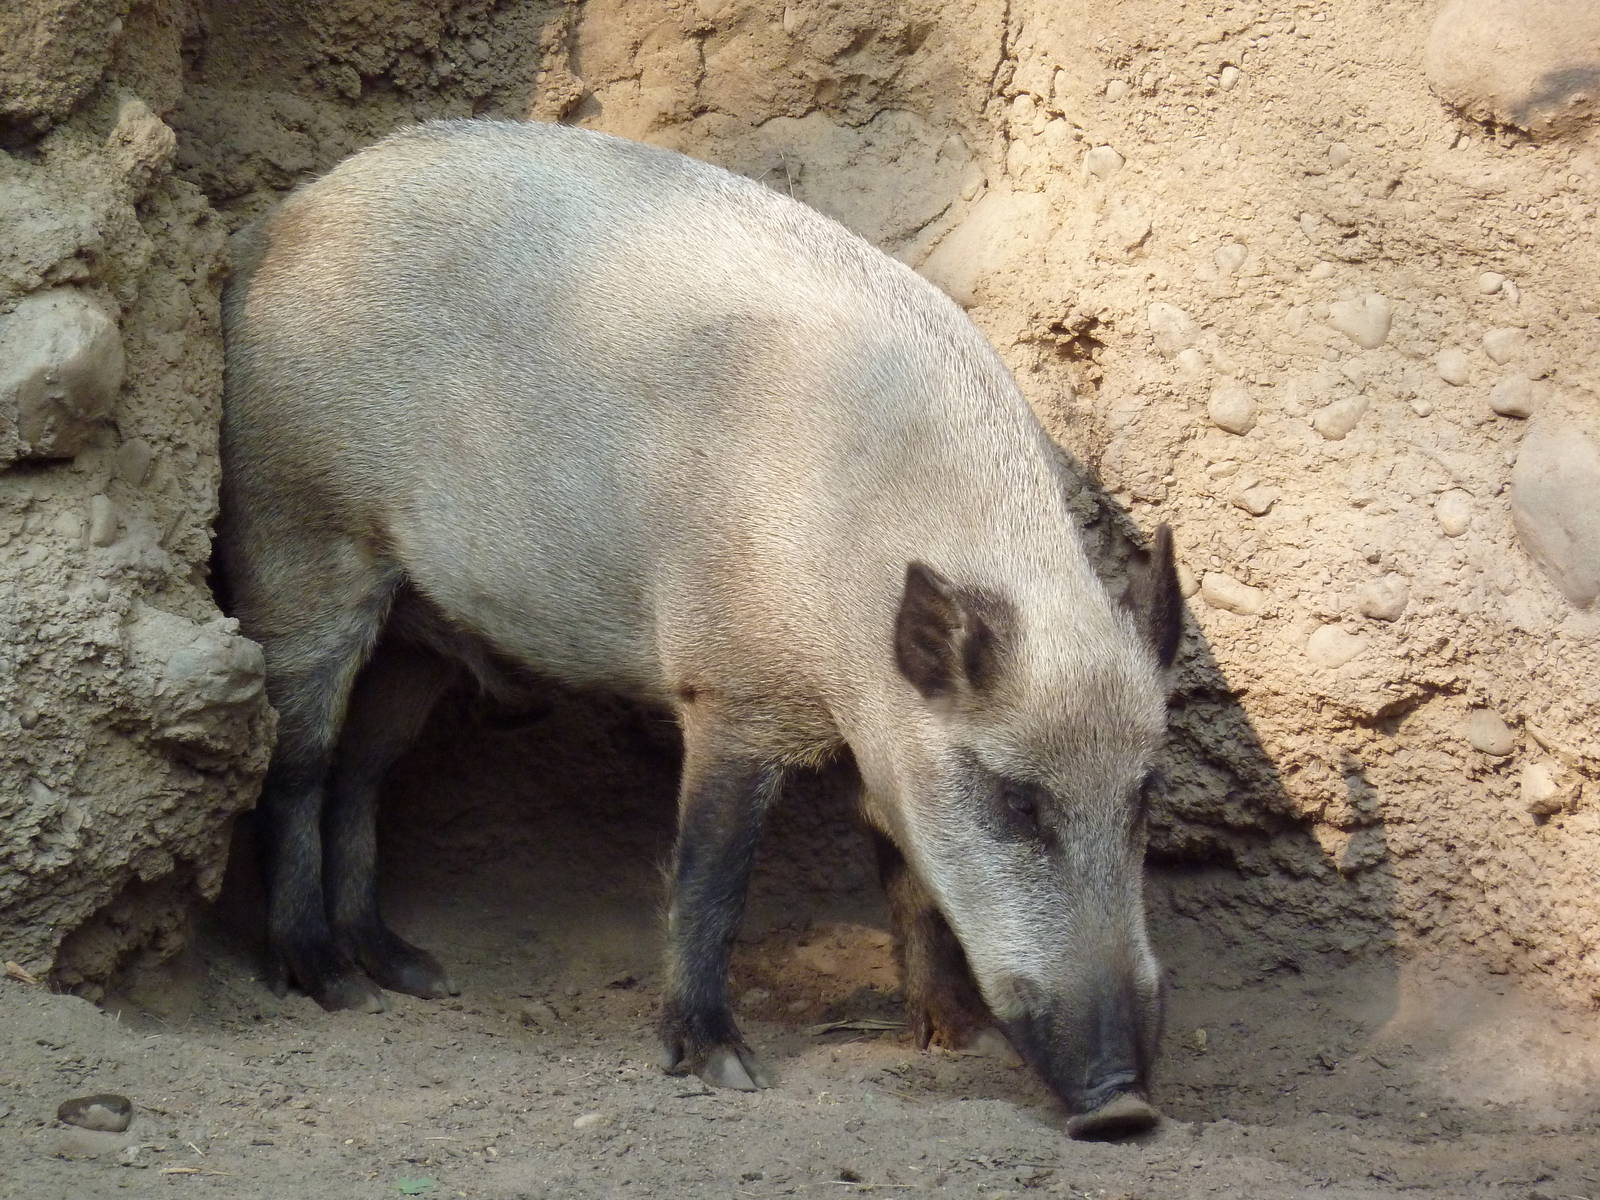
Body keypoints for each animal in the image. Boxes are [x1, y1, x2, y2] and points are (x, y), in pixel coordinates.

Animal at [216, 119, 1182, 1137]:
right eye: (1017, 803)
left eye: (1147, 794)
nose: (1126, 1109)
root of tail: (275, 224)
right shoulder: (728, 685)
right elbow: (710, 875)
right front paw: (723, 1067)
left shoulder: (882, 742)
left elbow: (908, 878)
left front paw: (952, 1042)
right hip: (295, 538)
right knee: (298, 764)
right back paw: (328, 983)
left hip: (417, 631)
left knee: (365, 772)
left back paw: (412, 973)